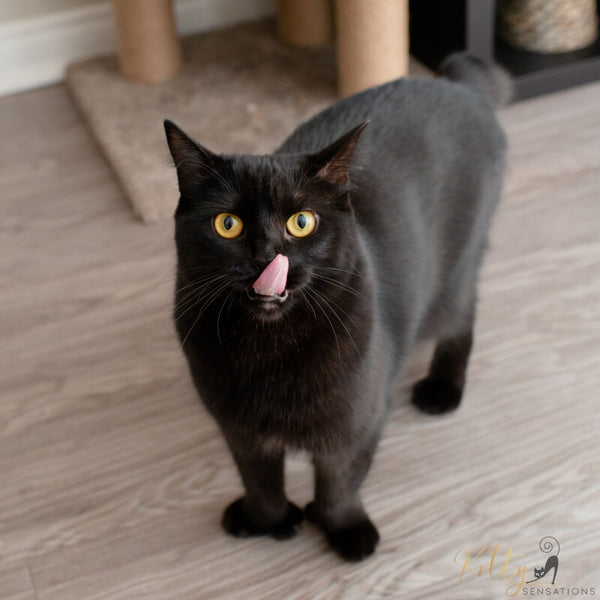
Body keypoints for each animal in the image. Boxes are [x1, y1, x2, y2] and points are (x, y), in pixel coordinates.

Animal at [164, 52, 510, 564]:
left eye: (301, 222)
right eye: (228, 224)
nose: (267, 256)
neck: (270, 351)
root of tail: (459, 85)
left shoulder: (356, 424)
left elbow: (340, 485)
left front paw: (346, 532)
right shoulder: (239, 428)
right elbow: (259, 480)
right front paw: (268, 521)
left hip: (456, 270)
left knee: (461, 320)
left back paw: (442, 390)